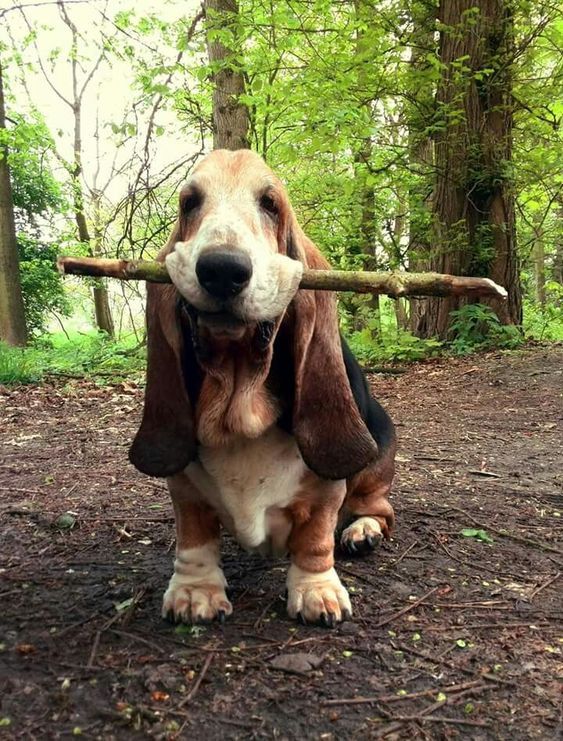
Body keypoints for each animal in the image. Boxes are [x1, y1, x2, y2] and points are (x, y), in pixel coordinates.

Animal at [129, 150, 394, 624]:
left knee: (378, 507)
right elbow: (193, 537)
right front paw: (195, 591)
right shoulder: (185, 491)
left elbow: (315, 538)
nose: (221, 269)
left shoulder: (326, 492)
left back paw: (363, 529)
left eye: (271, 204)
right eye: (189, 203)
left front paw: (315, 591)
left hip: (378, 454)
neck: (239, 396)